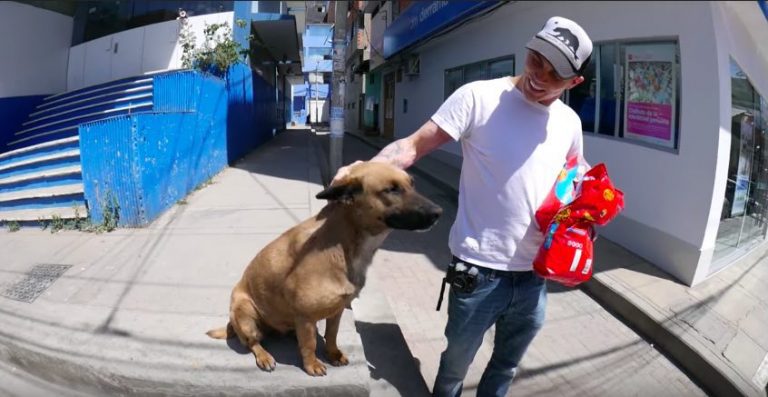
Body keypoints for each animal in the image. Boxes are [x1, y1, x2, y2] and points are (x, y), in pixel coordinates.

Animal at [207, 160, 440, 374]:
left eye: (412, 184)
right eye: (392, 189)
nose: (439, 212)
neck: (342, 244)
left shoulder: (336, 311)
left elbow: (331, 336)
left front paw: (332, 353)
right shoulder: (304, 316)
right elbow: (309, 343)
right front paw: (311, 364)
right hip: (245, 313)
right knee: (253, 342)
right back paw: (264, 356)